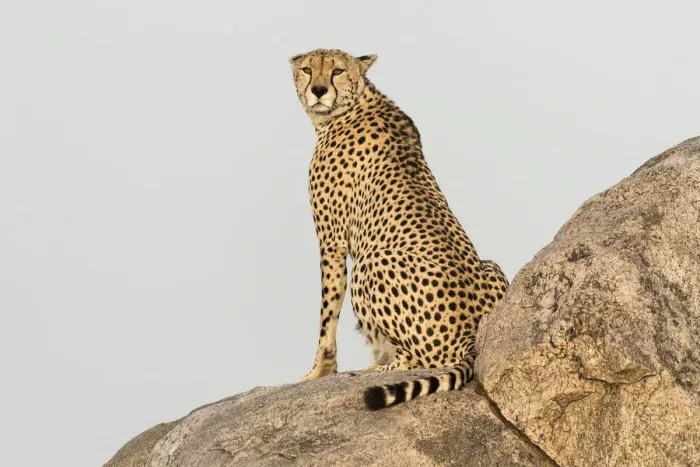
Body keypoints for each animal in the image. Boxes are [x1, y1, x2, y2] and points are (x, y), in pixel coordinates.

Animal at [289, 48, 509, 410]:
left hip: (370, 265)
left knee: (417, 360)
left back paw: (376, 369)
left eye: (337, 71)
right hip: (491, 264)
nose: (318, 90)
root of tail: (472, 338)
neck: (354, 103)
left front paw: (318, 371)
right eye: (307, 69)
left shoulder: (331, 240)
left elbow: (327, 312)